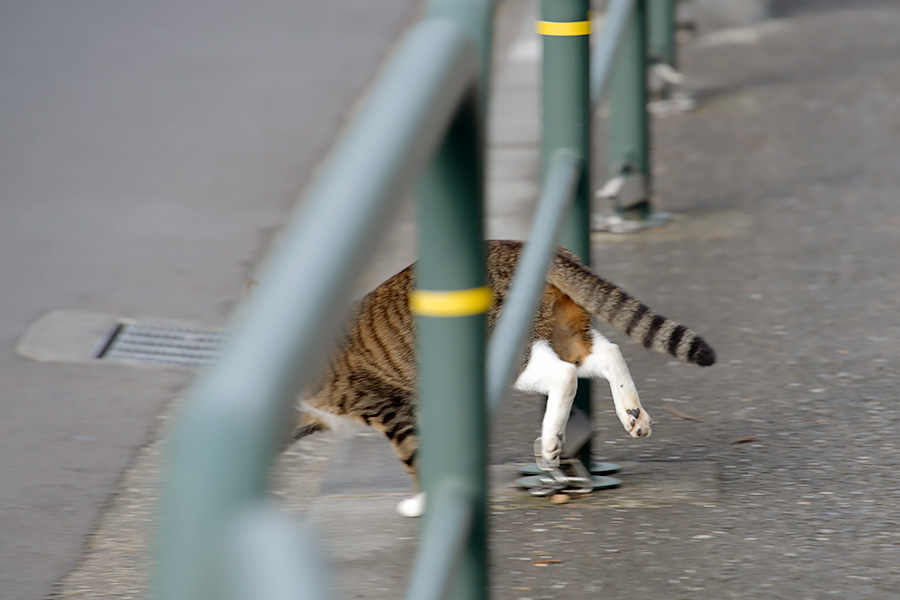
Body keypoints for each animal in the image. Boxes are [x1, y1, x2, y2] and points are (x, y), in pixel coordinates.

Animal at [296, 239, 716, 516]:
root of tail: (517, 244)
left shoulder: (392, 411)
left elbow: (417, 457)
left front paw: (424, 503)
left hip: (505, 347)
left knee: (564, 376)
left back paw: (551, 442)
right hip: (563, 331)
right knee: (606, 354)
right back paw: (631, 414)